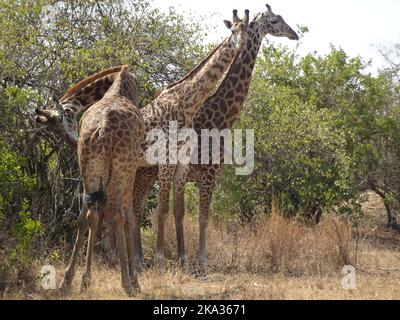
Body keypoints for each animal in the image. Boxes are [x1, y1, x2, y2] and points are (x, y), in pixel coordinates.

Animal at [61, 65, 144, 298]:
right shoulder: (132, 167)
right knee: (116, 214)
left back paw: (71, 281)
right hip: (122, 166)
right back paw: (127, 283)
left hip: (88, 165)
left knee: (90, 214)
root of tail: (102, 130)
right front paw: (135, 280)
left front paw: (82, 278)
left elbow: (89, 216)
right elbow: (129, 216)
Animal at [133, 3, 298, 272]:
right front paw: (201, 261)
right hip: (146, 172)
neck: (222, 118)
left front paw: (186, 260)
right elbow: (202, 217)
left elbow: (183, 213)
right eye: (274, 21)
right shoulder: (208, 173)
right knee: (135, 208)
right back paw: (136, 259)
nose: (295, 34)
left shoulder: (193, 174)